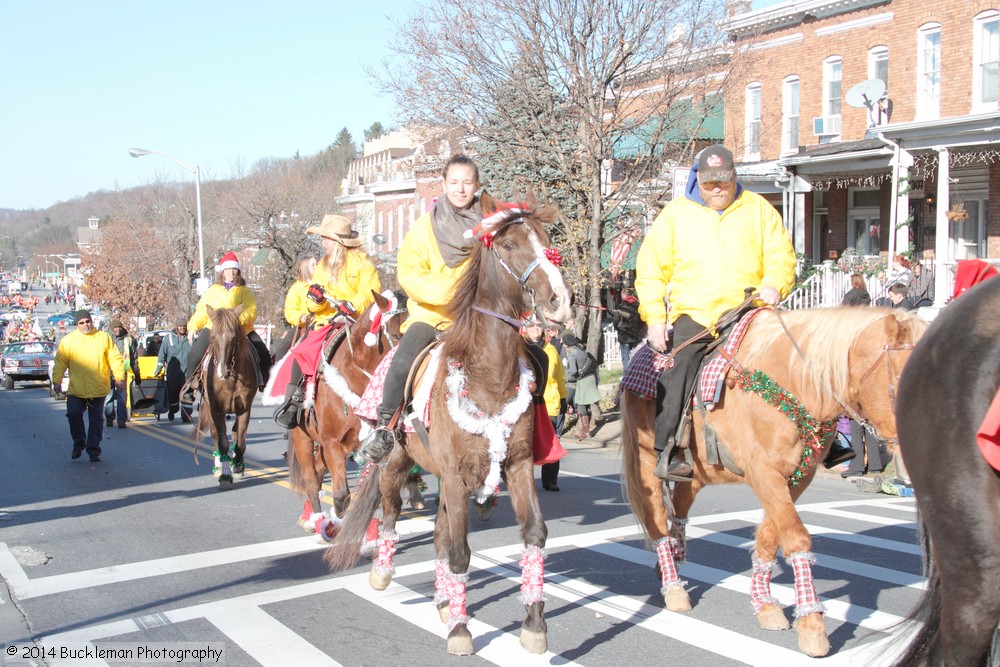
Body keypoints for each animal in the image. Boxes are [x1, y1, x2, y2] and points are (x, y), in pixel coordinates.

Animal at [195, 306, 258, 490]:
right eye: (213, 337)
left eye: (233, 337)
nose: (222, 371)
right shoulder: (216, 409)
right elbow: (222, 442)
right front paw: (224, 475)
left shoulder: (244, 408)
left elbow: (241, 442)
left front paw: (237, 465)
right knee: (216, 437)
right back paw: (218, 467)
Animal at [284, 292, 408, 536]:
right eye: (396, 334)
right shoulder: (332, 443)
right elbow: (341, 496)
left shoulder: (370, 446)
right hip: (302, 437)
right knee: (310, 478)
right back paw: (315, 518)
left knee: (318, 470)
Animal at [322, 198, 572, 656]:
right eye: (509, 244)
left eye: (547, 241)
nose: (560, 300)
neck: (488, 374)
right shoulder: (455, 474)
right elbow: (458, 552)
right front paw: (460, 631)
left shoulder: (518, 464)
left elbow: (533, 534)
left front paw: (533, 626)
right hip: (396, 464)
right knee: (391, 513)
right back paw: (384, 573)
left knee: (438, 530)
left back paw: (442, 601)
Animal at [620, 306, 924, 656]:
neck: (790, 381)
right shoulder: (763, 471)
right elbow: (795, 537)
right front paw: (812, 626)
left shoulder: (796, 476)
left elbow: (770, 536)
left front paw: (765, 604)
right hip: (647, 460)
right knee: (657, 517)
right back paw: (673, 586)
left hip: (697, 468)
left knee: (680, 506)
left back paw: (674, 559)